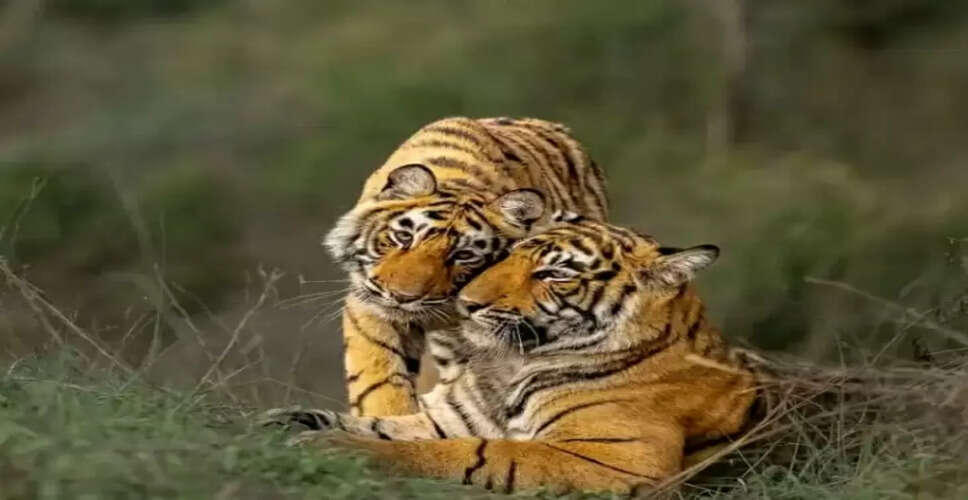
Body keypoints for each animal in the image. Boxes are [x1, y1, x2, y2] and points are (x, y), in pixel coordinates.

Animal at [266, 214, 756, 494]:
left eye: (554, 274)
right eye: (509, 256)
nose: (466, 303)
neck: (513, 362)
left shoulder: (617, 458)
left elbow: (473, 453)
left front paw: (332, 449)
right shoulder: (450, 418)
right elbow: (378, 425)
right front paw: (282, 421)